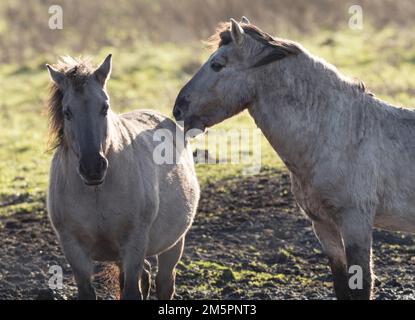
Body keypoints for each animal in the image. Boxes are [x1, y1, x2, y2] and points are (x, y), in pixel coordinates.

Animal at [46, 55, 201, 300]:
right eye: (67, 112)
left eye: (105, 107)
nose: (92, 167)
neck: (96, 192)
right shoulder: (73, 248)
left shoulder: (134, 242)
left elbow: (131, 291)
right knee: (146, 276)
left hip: (173, 244)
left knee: (164, 282)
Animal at [174, 16, 415, 298]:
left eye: (217, 65)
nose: (178, 108)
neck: (340, 134)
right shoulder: (324, 225)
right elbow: (341, 283)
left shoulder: (356, 222)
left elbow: (362, 284)